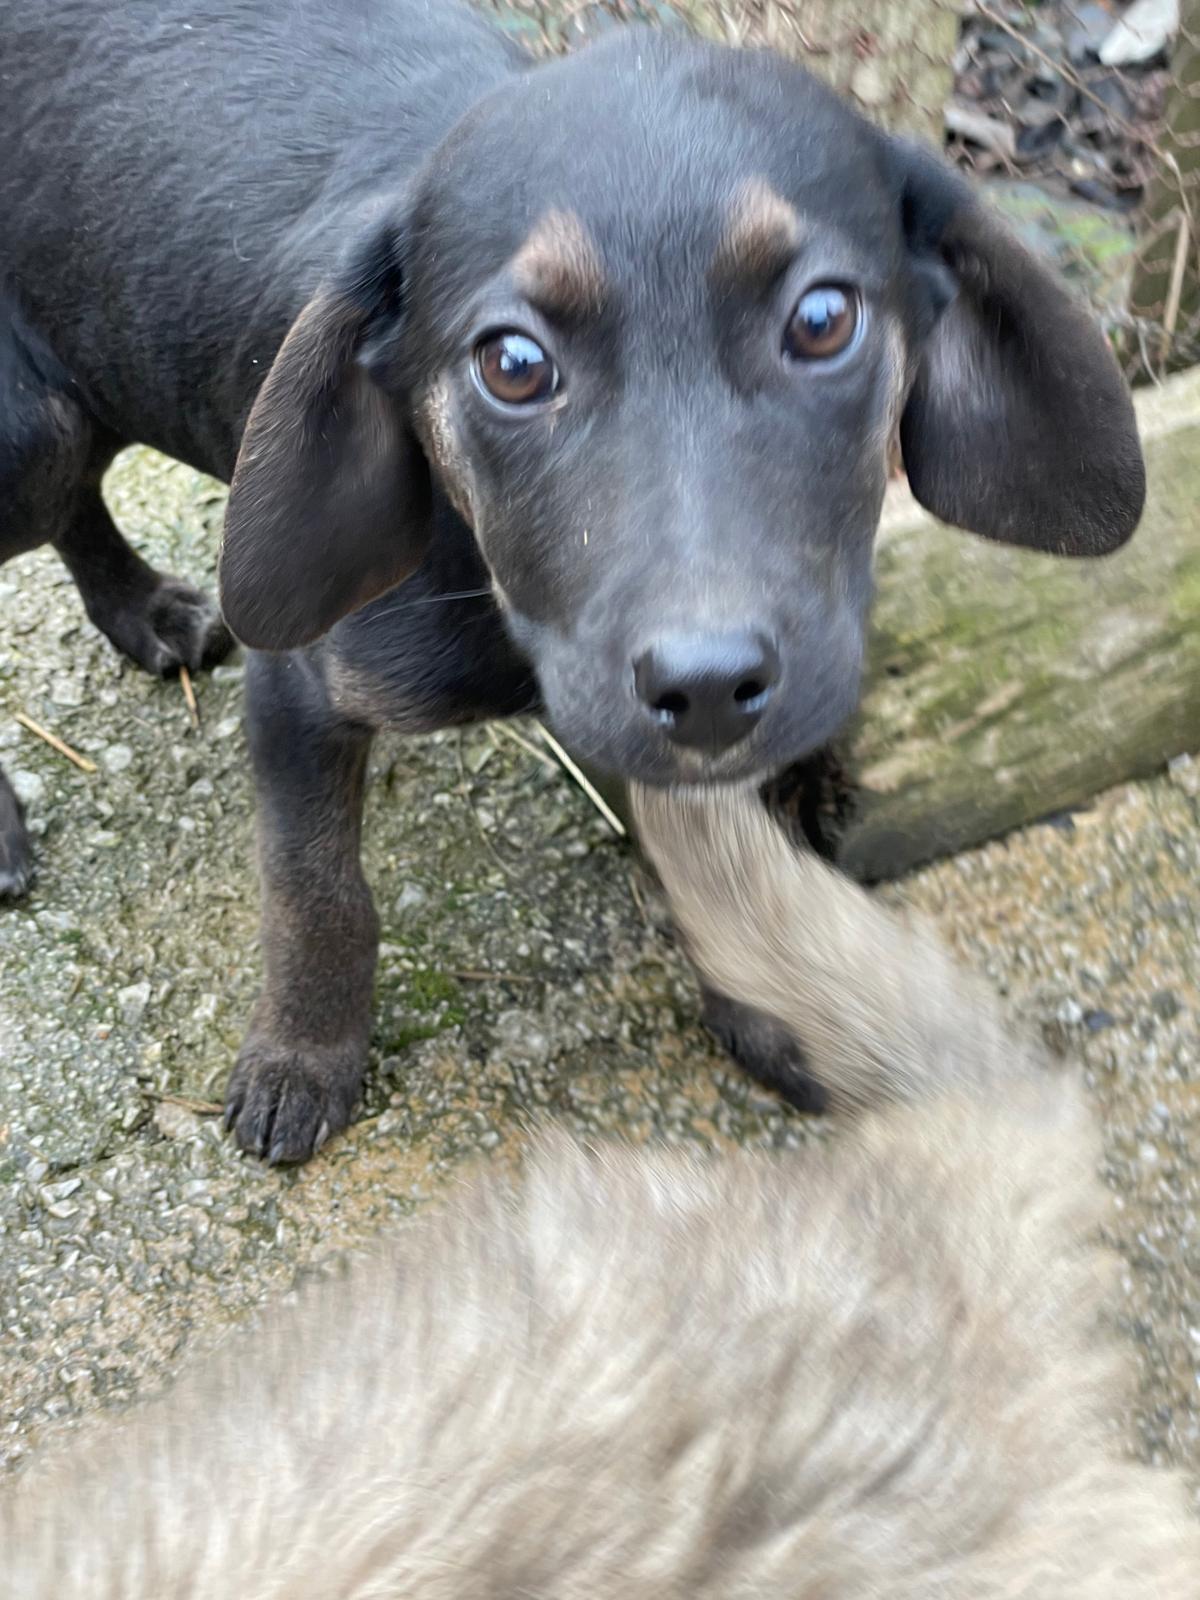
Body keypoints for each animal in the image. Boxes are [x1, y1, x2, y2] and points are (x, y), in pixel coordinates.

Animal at [1, 1, 1145, 1161]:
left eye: (824, 319)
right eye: (513, 365)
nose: (708, 684)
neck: (496, 593)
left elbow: (727, 863)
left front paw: (771, 1002)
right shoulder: (301, 686)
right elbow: (317, 890)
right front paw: (303, 1056)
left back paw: (142, 609)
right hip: (31, 432)